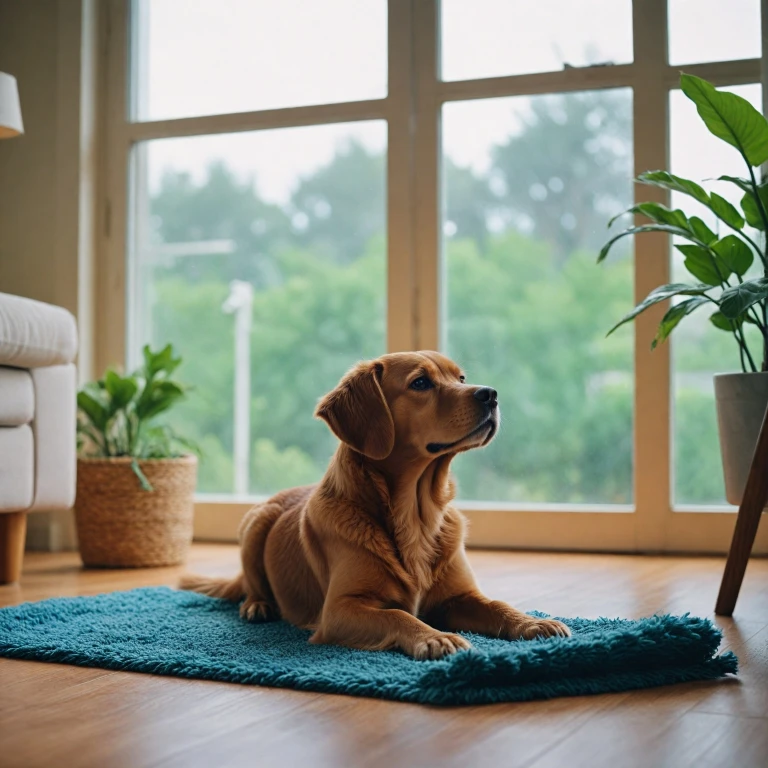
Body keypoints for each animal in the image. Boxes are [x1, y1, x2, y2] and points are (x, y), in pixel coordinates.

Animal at [177, 352, 568, 656]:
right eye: (421, 383)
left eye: (461, 377)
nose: (491, 394)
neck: (416, 513)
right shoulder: (339, 610)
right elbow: (398, 614)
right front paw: (435, 637)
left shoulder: (459, 596)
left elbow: (498, 605)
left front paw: (532, 622)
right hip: (256, 520)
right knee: (250, 584)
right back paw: (258, 605)